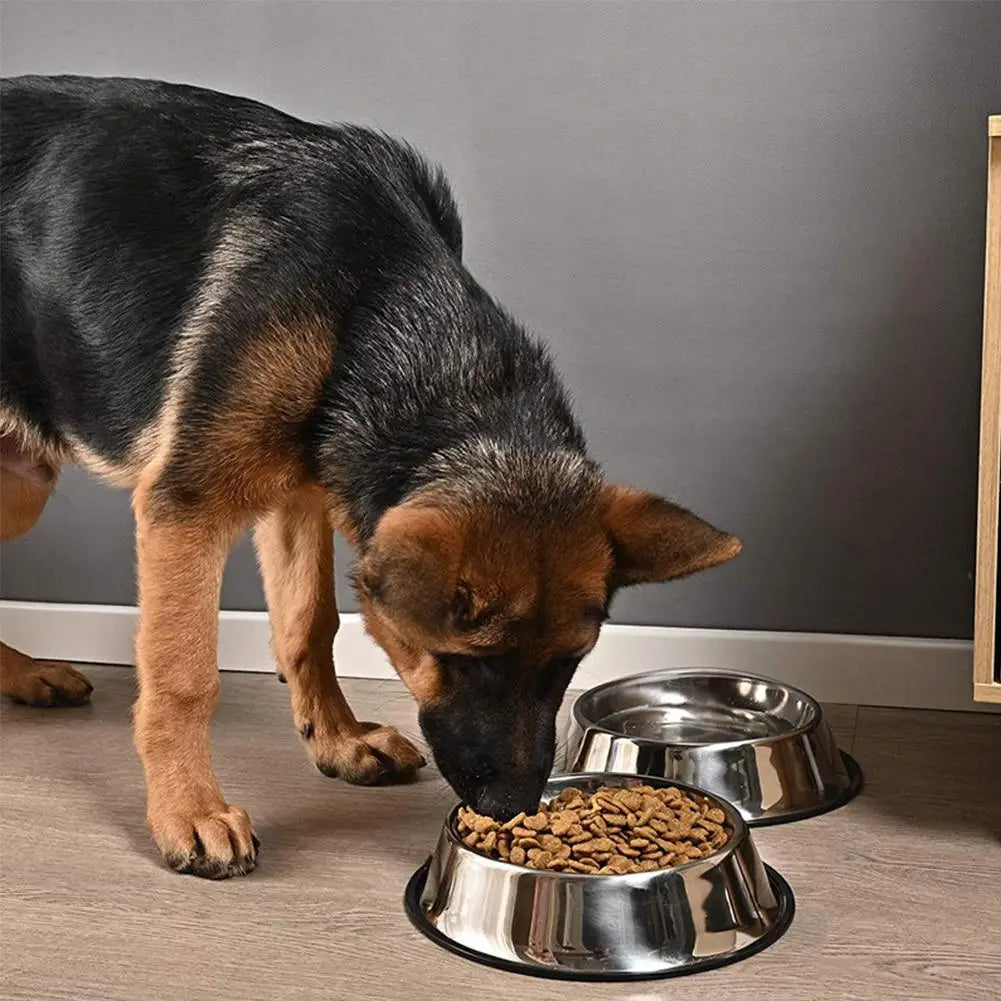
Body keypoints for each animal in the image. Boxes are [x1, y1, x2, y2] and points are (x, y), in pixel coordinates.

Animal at [1, 76, 744, 876]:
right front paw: (189, 811)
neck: (381, 303)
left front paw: (338, 741)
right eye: (467, 661)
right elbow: (183, 675)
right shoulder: (188, 508)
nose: (511, 806)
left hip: (22, 481)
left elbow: (308, 623)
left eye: (569, 662)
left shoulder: (299, 493)